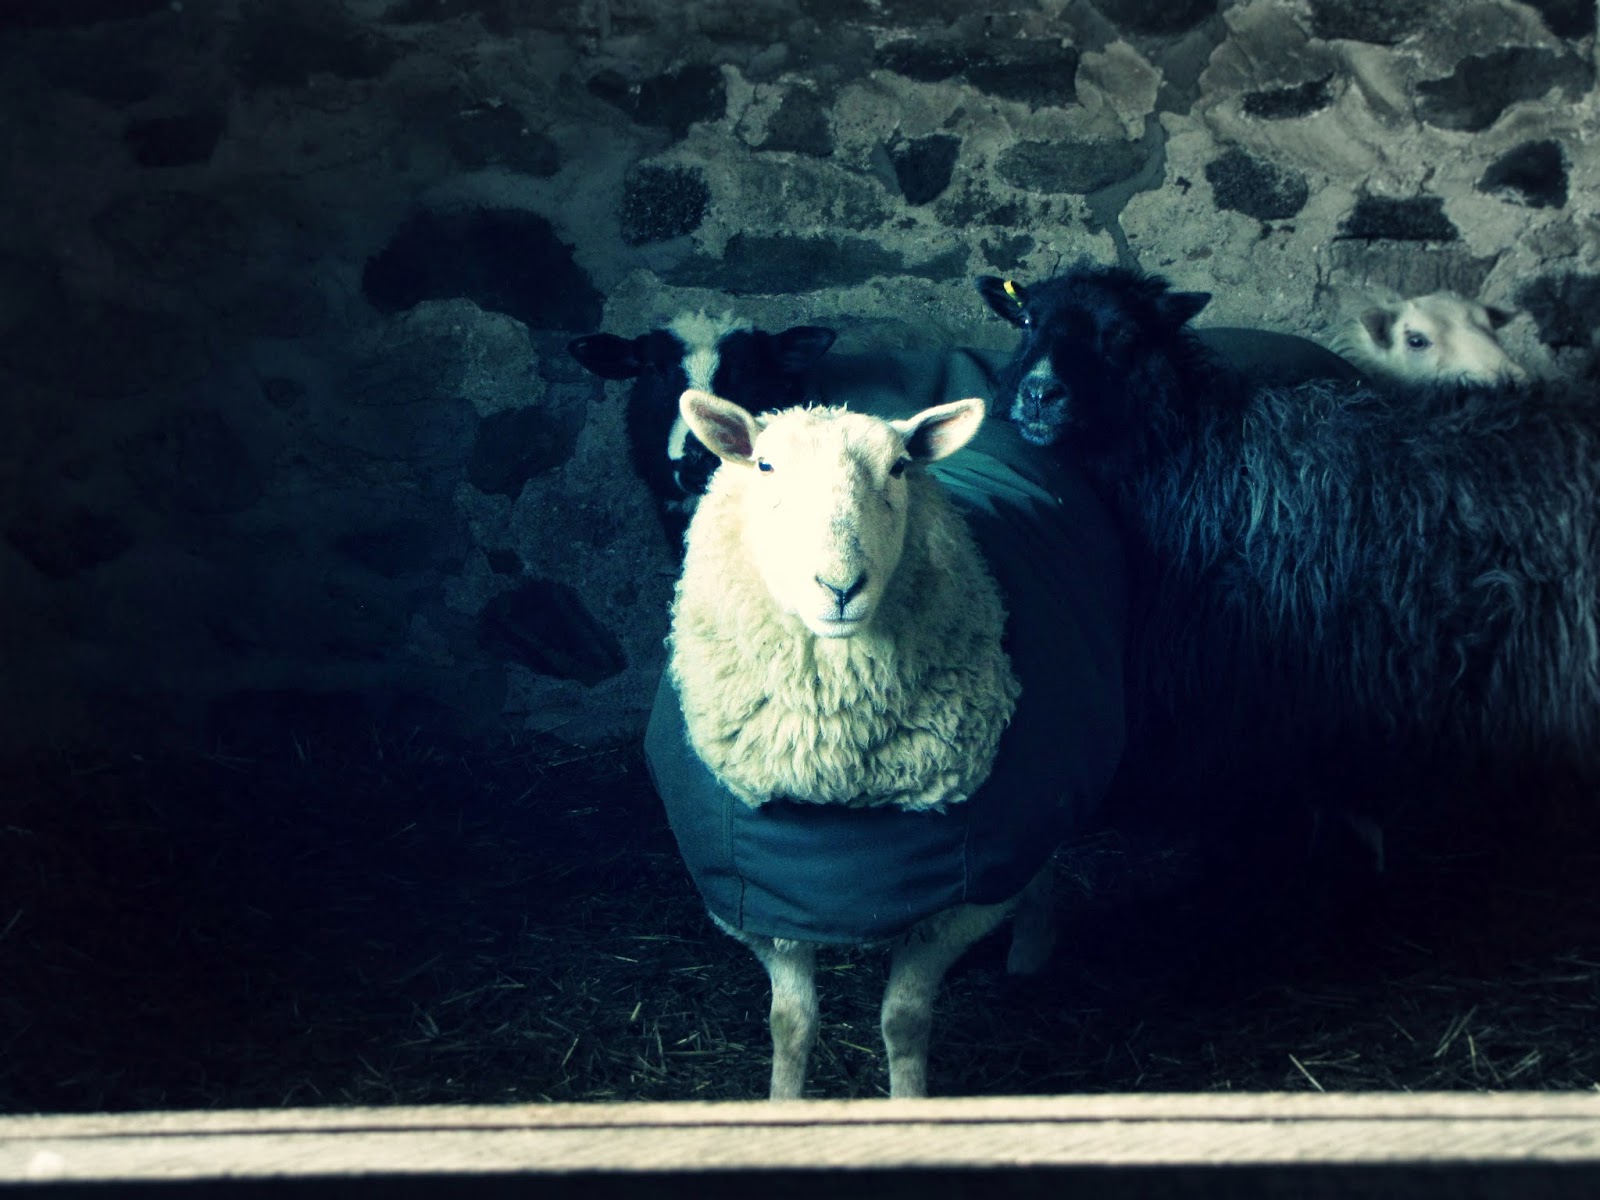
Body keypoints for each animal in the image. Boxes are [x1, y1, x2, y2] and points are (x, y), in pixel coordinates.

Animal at [644, 382, 1126, 1098]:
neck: (837, 777)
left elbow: (903, 1020)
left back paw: (1030, 953)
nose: (840, 587)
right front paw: (783, 1102)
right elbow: (791, 1025)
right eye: (764, 465)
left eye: (900, 468)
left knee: (1042, 858)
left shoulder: (960, 899)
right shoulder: (766, 903)